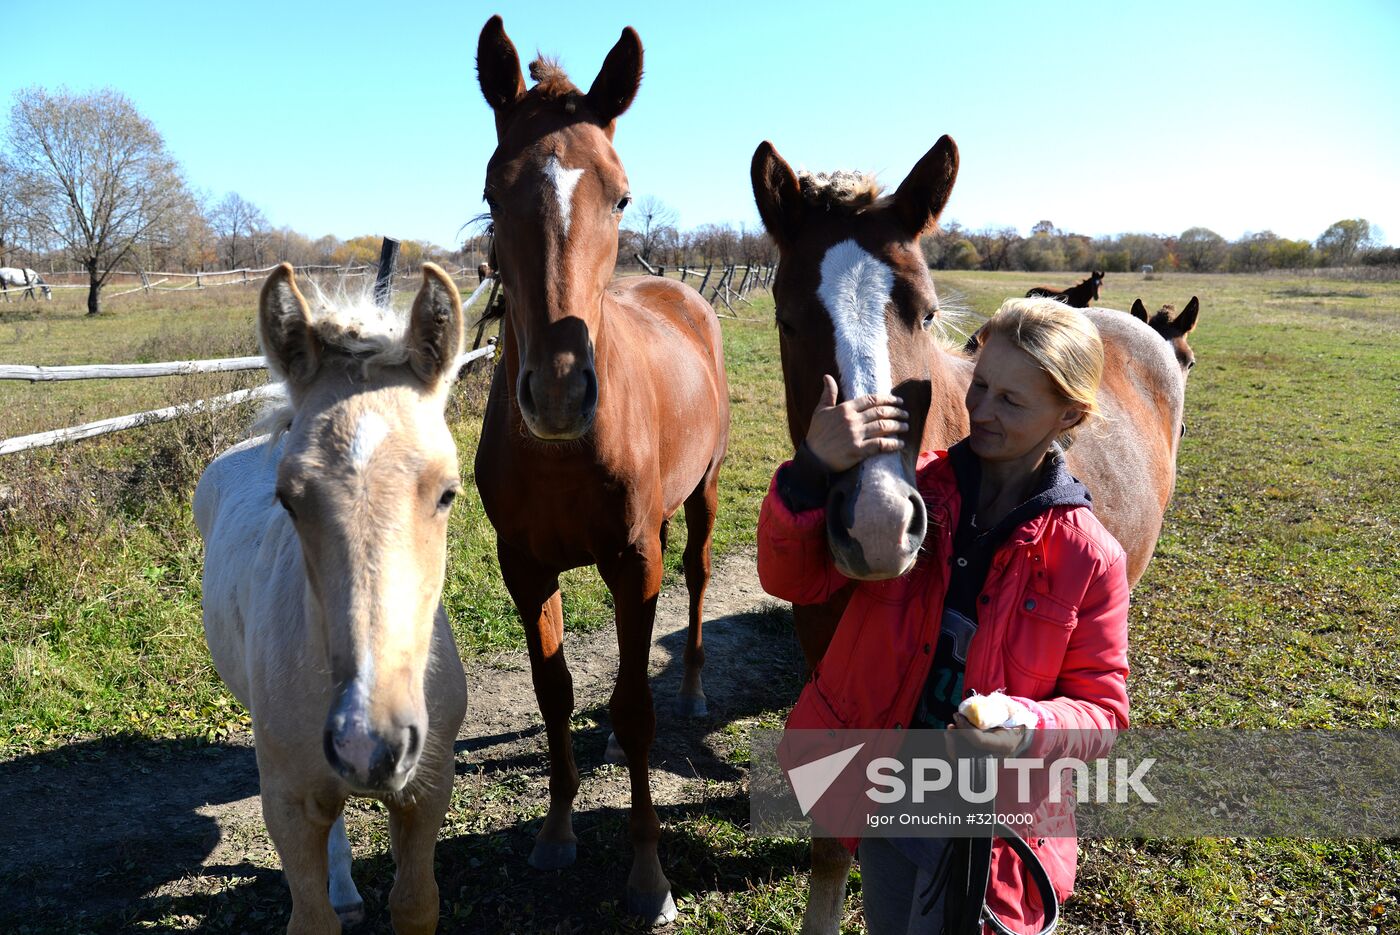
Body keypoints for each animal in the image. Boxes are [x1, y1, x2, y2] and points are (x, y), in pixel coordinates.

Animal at [195, 263, 470, 934]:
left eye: (447, 492)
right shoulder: (288, 802)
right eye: (289, 499)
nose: (368, 744)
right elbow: (311, 915)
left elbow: (416, 903)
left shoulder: (428, 789)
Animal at [473, 16, 730, 925]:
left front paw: (650, 876)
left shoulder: (633, 558)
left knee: (693, 579)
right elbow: (554, 691)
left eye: (619, 195)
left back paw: (692, 686)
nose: (557, 391)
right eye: (493, 192)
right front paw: (556, 830)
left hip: (700, 499)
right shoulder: (524, 566)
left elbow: (636, 705)